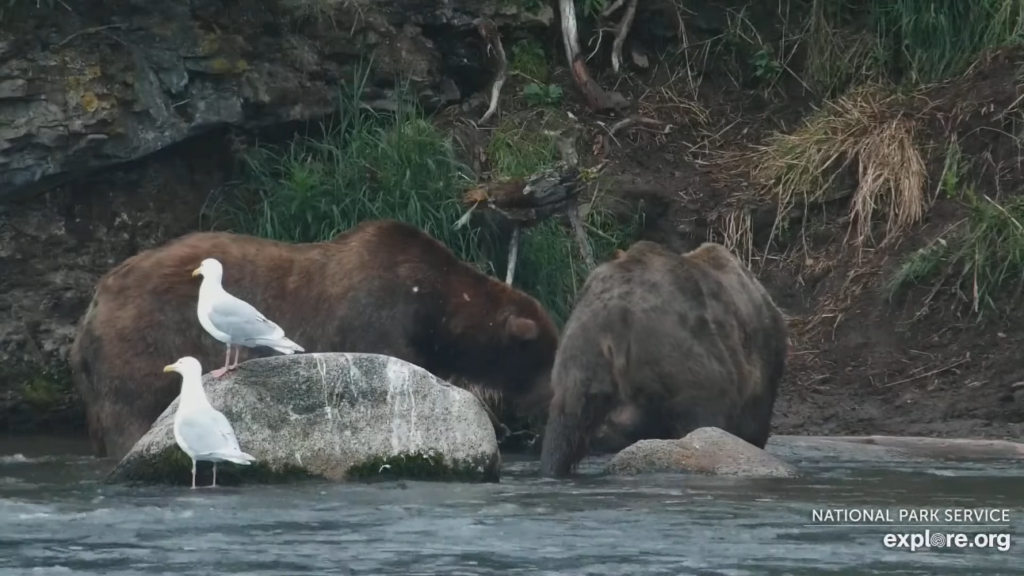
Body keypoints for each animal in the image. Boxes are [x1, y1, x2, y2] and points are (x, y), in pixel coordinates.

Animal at [70, 217, 561, 459]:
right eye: (548, 357)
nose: (554, 400)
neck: (435, 310)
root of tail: (94, 302)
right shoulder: (376, 321)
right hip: (143, 343)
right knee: (131, 413)